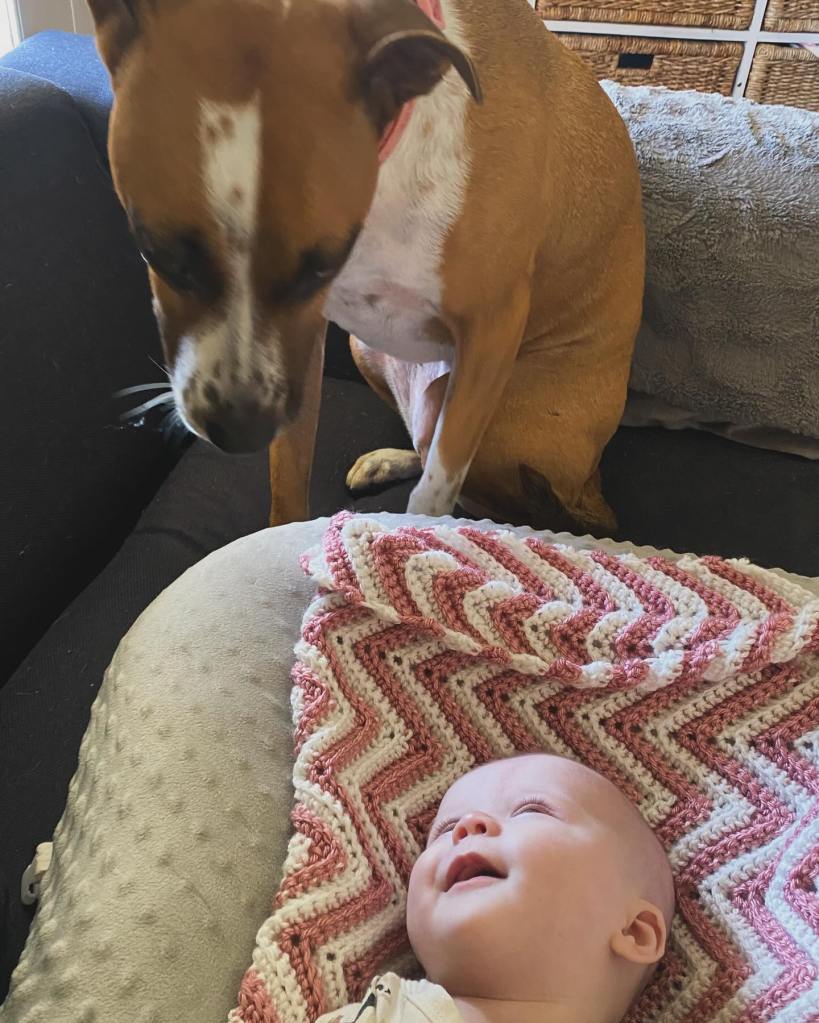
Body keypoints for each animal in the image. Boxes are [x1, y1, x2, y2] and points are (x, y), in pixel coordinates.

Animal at [87, 0, 638, 531]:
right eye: (155, 252)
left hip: (470, 404)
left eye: (322, 265)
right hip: (364, 350)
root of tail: (591, 485)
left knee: (498, 497)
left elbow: (435, 493)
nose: (239, 430)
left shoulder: (492, 327)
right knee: (426, 446)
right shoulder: (300, 348)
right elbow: (288, 479)